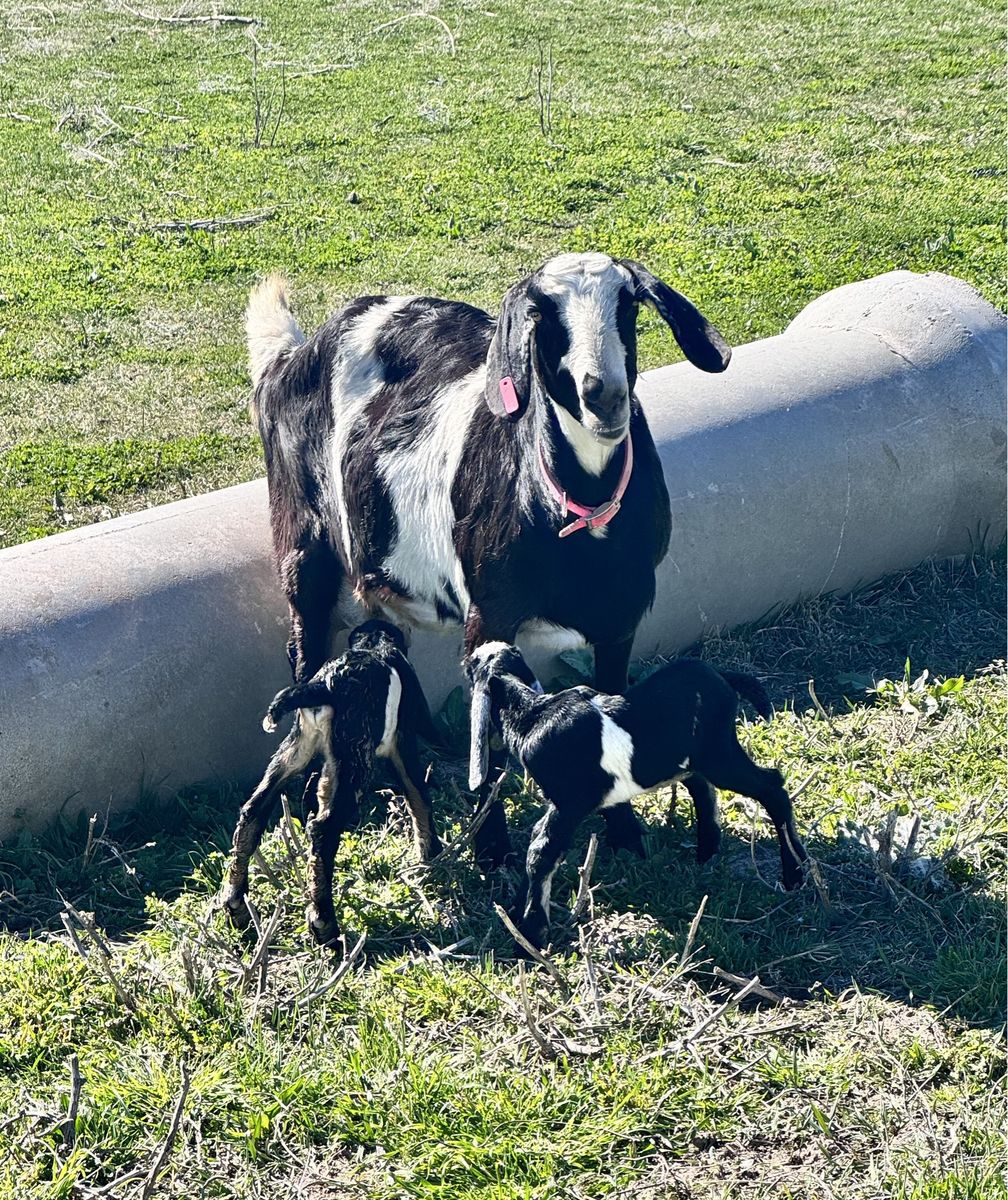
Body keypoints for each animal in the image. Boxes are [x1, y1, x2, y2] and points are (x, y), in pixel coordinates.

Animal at [219, 620, 441, 945]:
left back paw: (236, 903)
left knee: (254, 809)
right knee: (324, 830)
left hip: (296, 748)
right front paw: (431, 854)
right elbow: (418, 795)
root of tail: (325, 685)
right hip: (357, 760)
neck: (373, 644)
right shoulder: (402, 738)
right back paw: (324, 923)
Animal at [246, 252, 731, 870]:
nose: (602, 395)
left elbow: (615, 702)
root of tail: (293, 357)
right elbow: (489, 736)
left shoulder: (621, 616)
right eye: (540, 316)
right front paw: (493, 852)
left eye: (629, 307)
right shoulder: (488, 613)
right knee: (305, 647)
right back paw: (311, 794)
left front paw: (624, 832)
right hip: (302, 540)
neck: (580, 514)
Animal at [465, 642, 807, 950]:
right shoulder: (559, 803)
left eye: (472, 666)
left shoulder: (571, 802)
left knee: (771, 786)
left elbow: (541, 849)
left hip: (718, 754)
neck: (531, 714)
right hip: (690, 757)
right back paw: (707, 852)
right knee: (702, 787)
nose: (470, 656)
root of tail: (721, 676)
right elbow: (539, 838)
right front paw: (518, 916)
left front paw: (531, 936)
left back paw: (795, 873)